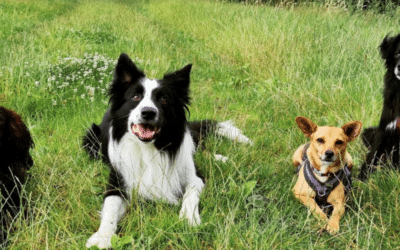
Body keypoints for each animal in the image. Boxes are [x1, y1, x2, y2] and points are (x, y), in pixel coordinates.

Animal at [84, 52, 252, 248]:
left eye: (163, 99)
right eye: (135, 97)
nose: (148, 112)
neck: (149, 149)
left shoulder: (193, 176)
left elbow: (190, 194)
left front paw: (188, 218)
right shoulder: (117, 181)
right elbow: (110, 207)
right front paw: (102, 237)